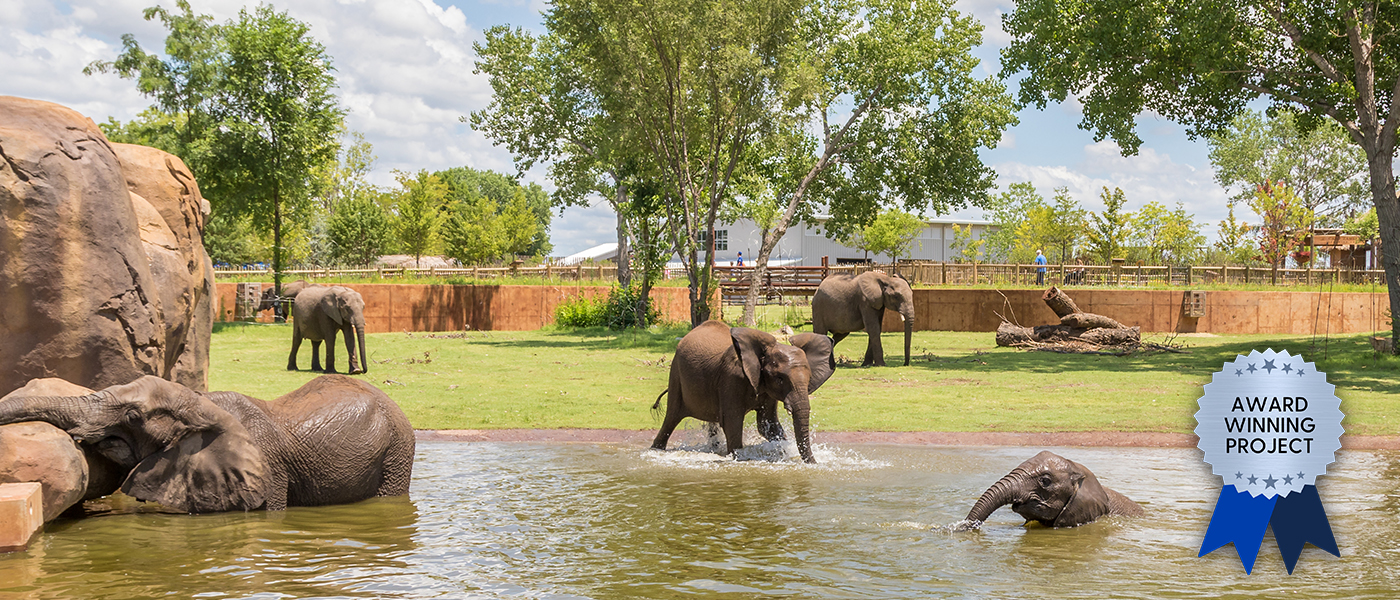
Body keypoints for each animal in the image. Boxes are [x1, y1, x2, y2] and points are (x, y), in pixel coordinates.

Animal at [651, 320, 835, 463]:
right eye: (780, 379)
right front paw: (738, 457)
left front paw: (782, 451)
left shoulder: (766, 389)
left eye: (809, 378)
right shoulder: (730, 380)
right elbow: (732, 422)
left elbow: (767, 424)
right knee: (671, 417)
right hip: (676, 374)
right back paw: (655, 450)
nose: (814, 463)